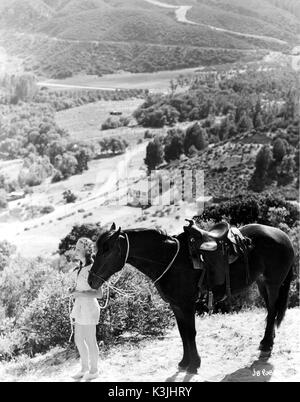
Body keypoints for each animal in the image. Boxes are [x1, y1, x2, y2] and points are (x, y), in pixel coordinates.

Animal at [88, 221, 294, 372]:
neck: (169, 259)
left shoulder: (187, 304)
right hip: (261, 283)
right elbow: (183, 333)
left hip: (273, 284)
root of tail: (283, 236)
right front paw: (184, 362)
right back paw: (267, 342)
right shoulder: (176, 306)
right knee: (271, 312)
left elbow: (191, 333)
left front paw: (194, 364)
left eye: (107, 250)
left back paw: (266, 345)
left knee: (273, 311)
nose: (91, 280)